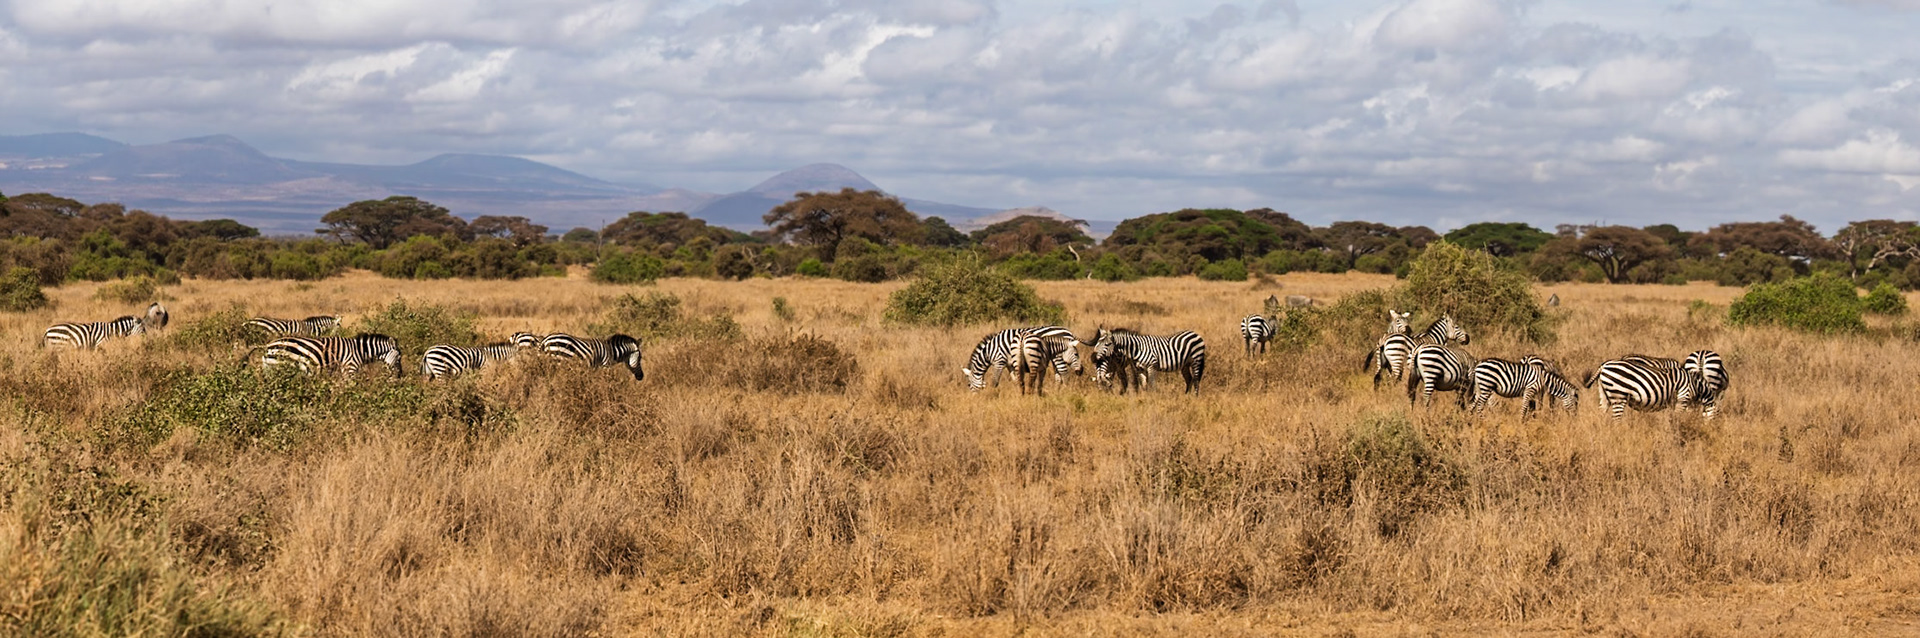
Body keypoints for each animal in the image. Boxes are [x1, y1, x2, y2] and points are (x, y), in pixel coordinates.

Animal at [1583, 356, 1714, 421]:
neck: (1696, 386)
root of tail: (1604, 366)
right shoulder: (1682, 398)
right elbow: (1676, 418)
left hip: (1604, 394)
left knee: (1601, 413)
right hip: (1618, 395)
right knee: (1616, 420)